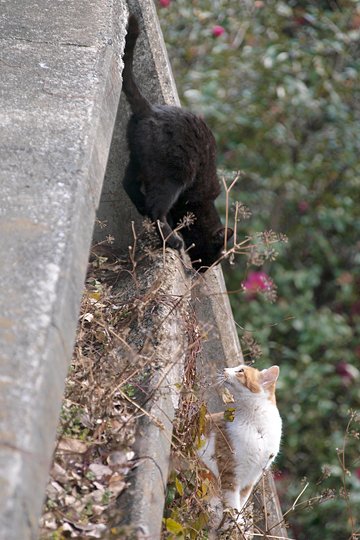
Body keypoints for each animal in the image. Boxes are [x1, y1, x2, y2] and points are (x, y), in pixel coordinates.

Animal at [121, 13, 233, 270]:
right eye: (210, 257)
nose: (202, 270)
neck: (203, 205)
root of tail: (149, 110)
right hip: (173, 177)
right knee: (157, 209)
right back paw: (171, 239)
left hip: (138, 160)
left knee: (128, 184)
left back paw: (142, 208)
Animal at [198, 362, 282, 532]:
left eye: (240, 371)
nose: (224, 369)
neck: (256, 424)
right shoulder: (231, 472)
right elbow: (232, 501)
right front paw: (234, 523)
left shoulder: (252, 476)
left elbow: (242, 500)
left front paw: (239, 522)